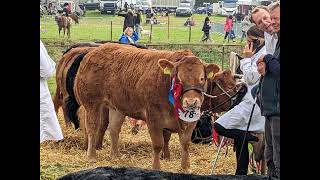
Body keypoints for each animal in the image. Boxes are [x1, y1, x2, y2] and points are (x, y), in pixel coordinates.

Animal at [74, 43, 220, 171]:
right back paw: (92, 156)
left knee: (114, 129)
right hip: (92, 103)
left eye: (202, 78)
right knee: (92, 128)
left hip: (116, 107)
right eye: (178, 79)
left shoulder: (191, 122)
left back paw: (115, 156)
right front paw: (156, 167)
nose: (191, 102)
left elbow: (185, 143)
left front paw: (186, 167)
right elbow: (158, 144)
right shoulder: (153, 118)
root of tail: (92, 52)